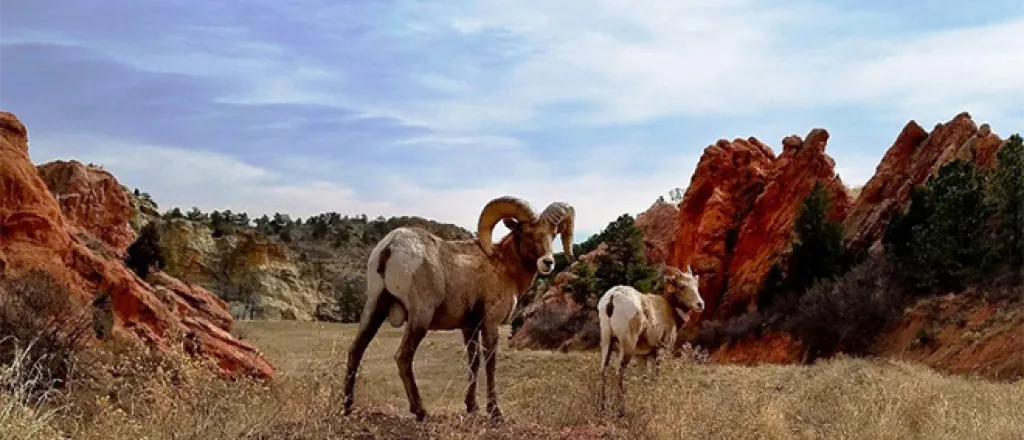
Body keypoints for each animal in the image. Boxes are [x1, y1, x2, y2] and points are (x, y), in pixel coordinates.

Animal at [342, 195, 576, 421]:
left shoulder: (469, 328)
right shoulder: (490, 323)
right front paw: (494, 411)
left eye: (553, 234)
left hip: (374, 307)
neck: (504, 266)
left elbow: (473, 362)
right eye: (526, 233)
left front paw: (472, 407)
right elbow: (490, 363)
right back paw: (420, 411)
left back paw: (347, 406)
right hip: (420, 317)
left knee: (356, 350)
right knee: (403, 357)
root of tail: (390, 246)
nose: (548, 262)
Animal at [597, 264, 704, 416]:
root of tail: (613, 296)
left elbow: (644, 378)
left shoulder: (642, 356)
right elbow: (655, 377)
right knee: (620, 371)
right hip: (627, 345)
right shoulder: (660, 351)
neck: (670, 310)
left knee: (603, 370)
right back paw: (622, 411)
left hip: (606, 340)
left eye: (696, 285)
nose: (700, 304)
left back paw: (602, 410)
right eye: (681, 286)